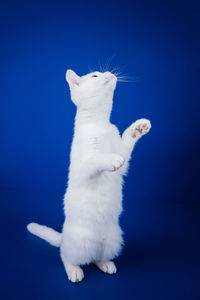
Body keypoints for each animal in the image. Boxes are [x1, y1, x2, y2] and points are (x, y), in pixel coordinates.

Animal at [27, 69, 152, 282]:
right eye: (95, 75)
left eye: (102, 73)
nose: (108, 72)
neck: (101, 124)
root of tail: (64, 237)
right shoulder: (83, 168)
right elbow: (96, 160)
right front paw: (110, 159)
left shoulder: (122, 156)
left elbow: (125, 145)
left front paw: (139, 127)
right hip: (78, 245)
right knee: (66, 257)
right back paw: (74, 271)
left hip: (113, 240)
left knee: (96, 258)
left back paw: (106, 264)